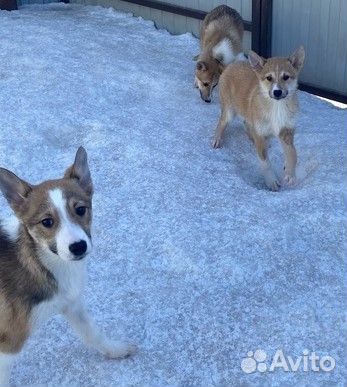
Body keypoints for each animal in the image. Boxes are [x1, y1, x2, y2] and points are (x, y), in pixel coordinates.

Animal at [0, 147, 136, 386]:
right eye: (47, 222)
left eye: (80, 210)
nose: (78, 247)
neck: (39, 263)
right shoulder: (8, 345)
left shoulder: (70, 303)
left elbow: (93, 333)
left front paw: (115, 350)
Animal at [212, 46, 308, 192]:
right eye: (269, 78)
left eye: (286, 77)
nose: (277, 92)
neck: (276, 108)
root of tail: (231, 64)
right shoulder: (261, 134)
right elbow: (265, 163)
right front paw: (271, 181)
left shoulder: (286, 131)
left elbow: (293, 154)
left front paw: (290, 174)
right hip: (229, 110)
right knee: (221, 122)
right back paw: (217, 139)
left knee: (246, 123)